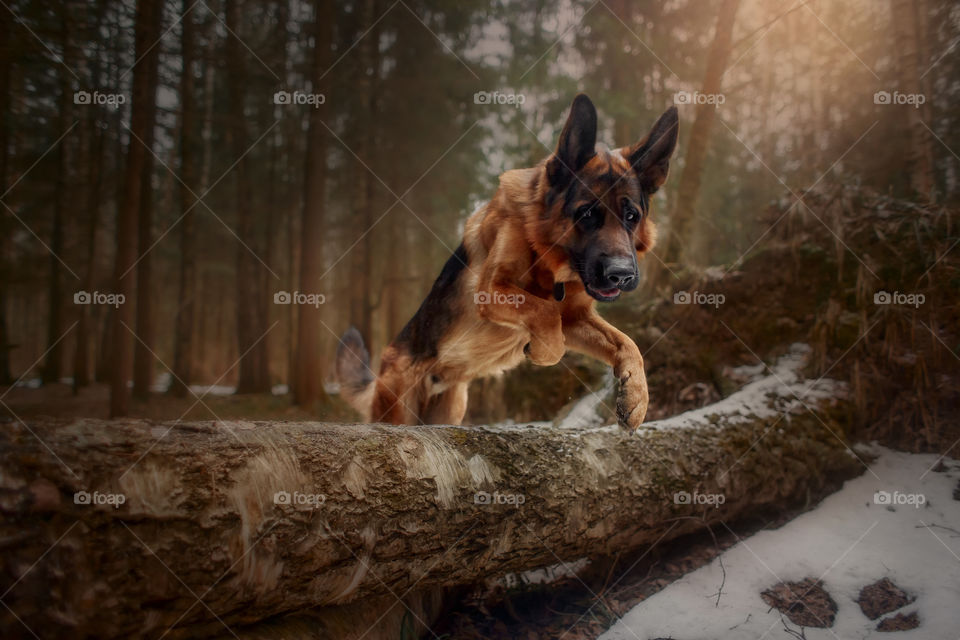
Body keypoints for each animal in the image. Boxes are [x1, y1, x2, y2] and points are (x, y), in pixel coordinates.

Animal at [338, 94, 676, 430]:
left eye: (631, 216)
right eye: (586, 214)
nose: (621, 275)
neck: (548, 263)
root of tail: (381, 370)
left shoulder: (575, 319)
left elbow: (627, 342)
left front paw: (637, 398)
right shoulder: (492, 290)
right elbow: (546, 313)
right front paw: (541, 350)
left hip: (450, 408)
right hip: (397, 408)